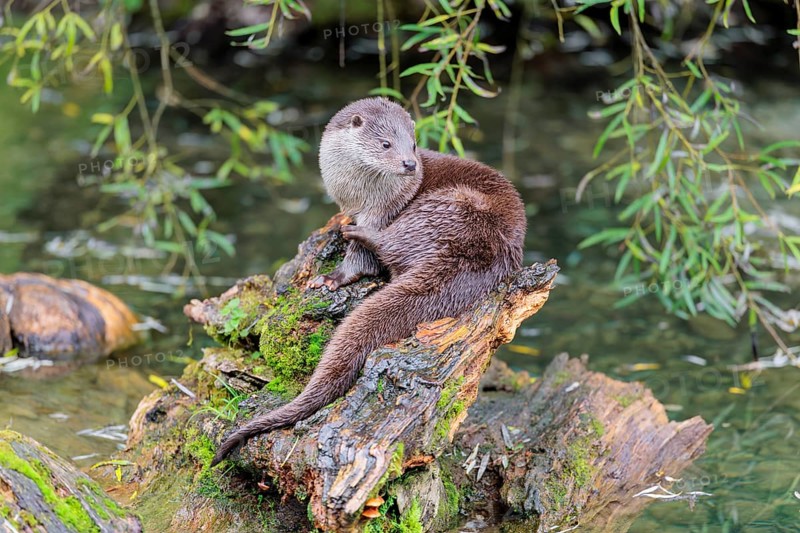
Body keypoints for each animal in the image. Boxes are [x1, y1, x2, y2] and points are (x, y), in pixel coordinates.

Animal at [211, 98, 526, 466]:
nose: (409, 164)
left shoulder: (385, 210)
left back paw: (352, 237)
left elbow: (363, 262)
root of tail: (485, 256)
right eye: (386, 144)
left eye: (413, 144)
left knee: (389, 247)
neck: (358, 196)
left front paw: (336, 276)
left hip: (444, 209)